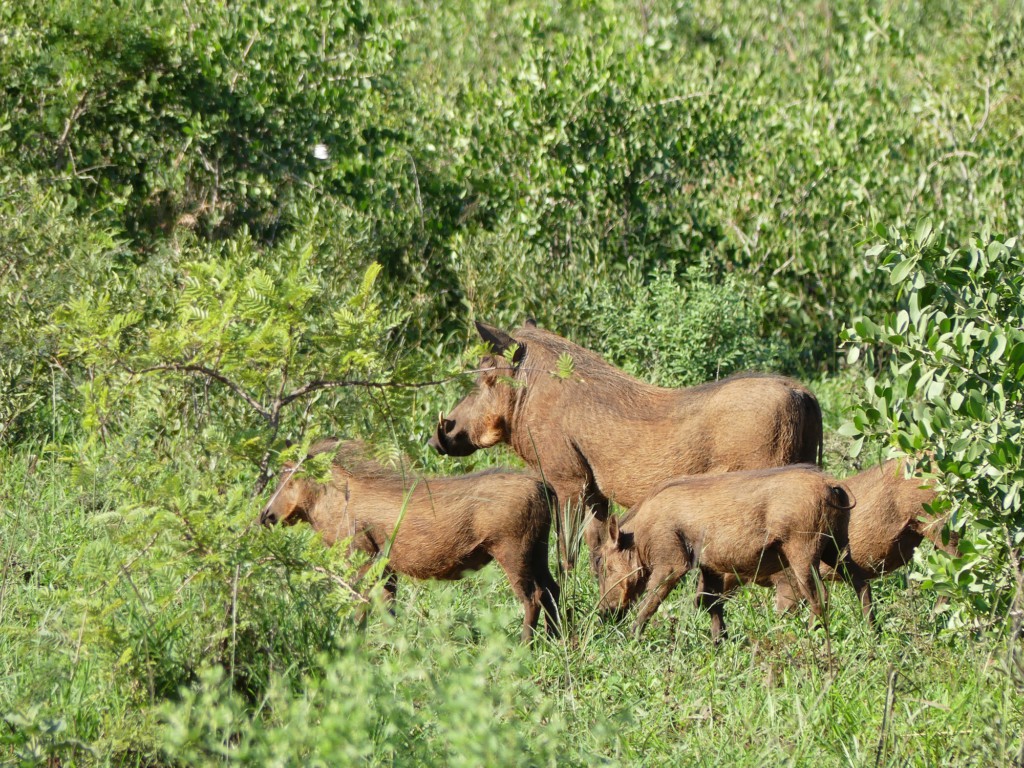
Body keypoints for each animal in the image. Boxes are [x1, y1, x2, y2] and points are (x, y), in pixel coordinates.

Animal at [256, 438, 561, 643]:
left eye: (288, 474)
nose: (263, 516)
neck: (333, 499)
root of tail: (540, 484)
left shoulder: (362, 559)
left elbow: (361, 602)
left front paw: (355, 643)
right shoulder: (386, 566)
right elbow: (388, 606)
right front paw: (392, 645)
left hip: (512, 552)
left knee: (533, 597)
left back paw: (524, 647)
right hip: (538, 549)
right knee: (552, 590)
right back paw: (556, 640)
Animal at [593, 466, 856, 647]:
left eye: (605, 567)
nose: (603, 615)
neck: (638, 535)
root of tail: (830, 483)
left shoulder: (671, 563)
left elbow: (651, 601)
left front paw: (631, 638)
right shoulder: (710, 568)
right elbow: (708, 602)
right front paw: (719, 644)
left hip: (803, 553)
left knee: (820, 595)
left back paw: (814, 636)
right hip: (838, 549)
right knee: (858, 582)